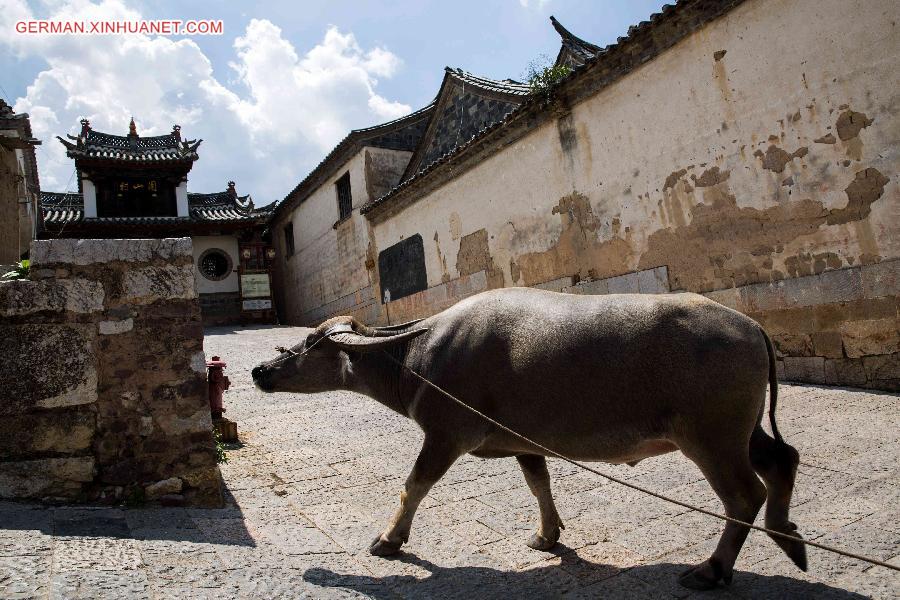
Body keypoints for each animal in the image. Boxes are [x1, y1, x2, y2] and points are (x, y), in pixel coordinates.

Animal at [253, 288, 808, 588]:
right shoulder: (523, 443)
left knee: (744, 495)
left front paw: (389, 540)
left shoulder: (445, 435)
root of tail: (751, 325)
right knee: (783, 459)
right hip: (742, 431)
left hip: (711, 438)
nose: (260, 371)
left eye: (310, 343)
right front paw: (547, 535)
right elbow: (538, 483)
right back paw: (788, 538)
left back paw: (713, 569)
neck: (419, 355)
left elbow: (414, 486)